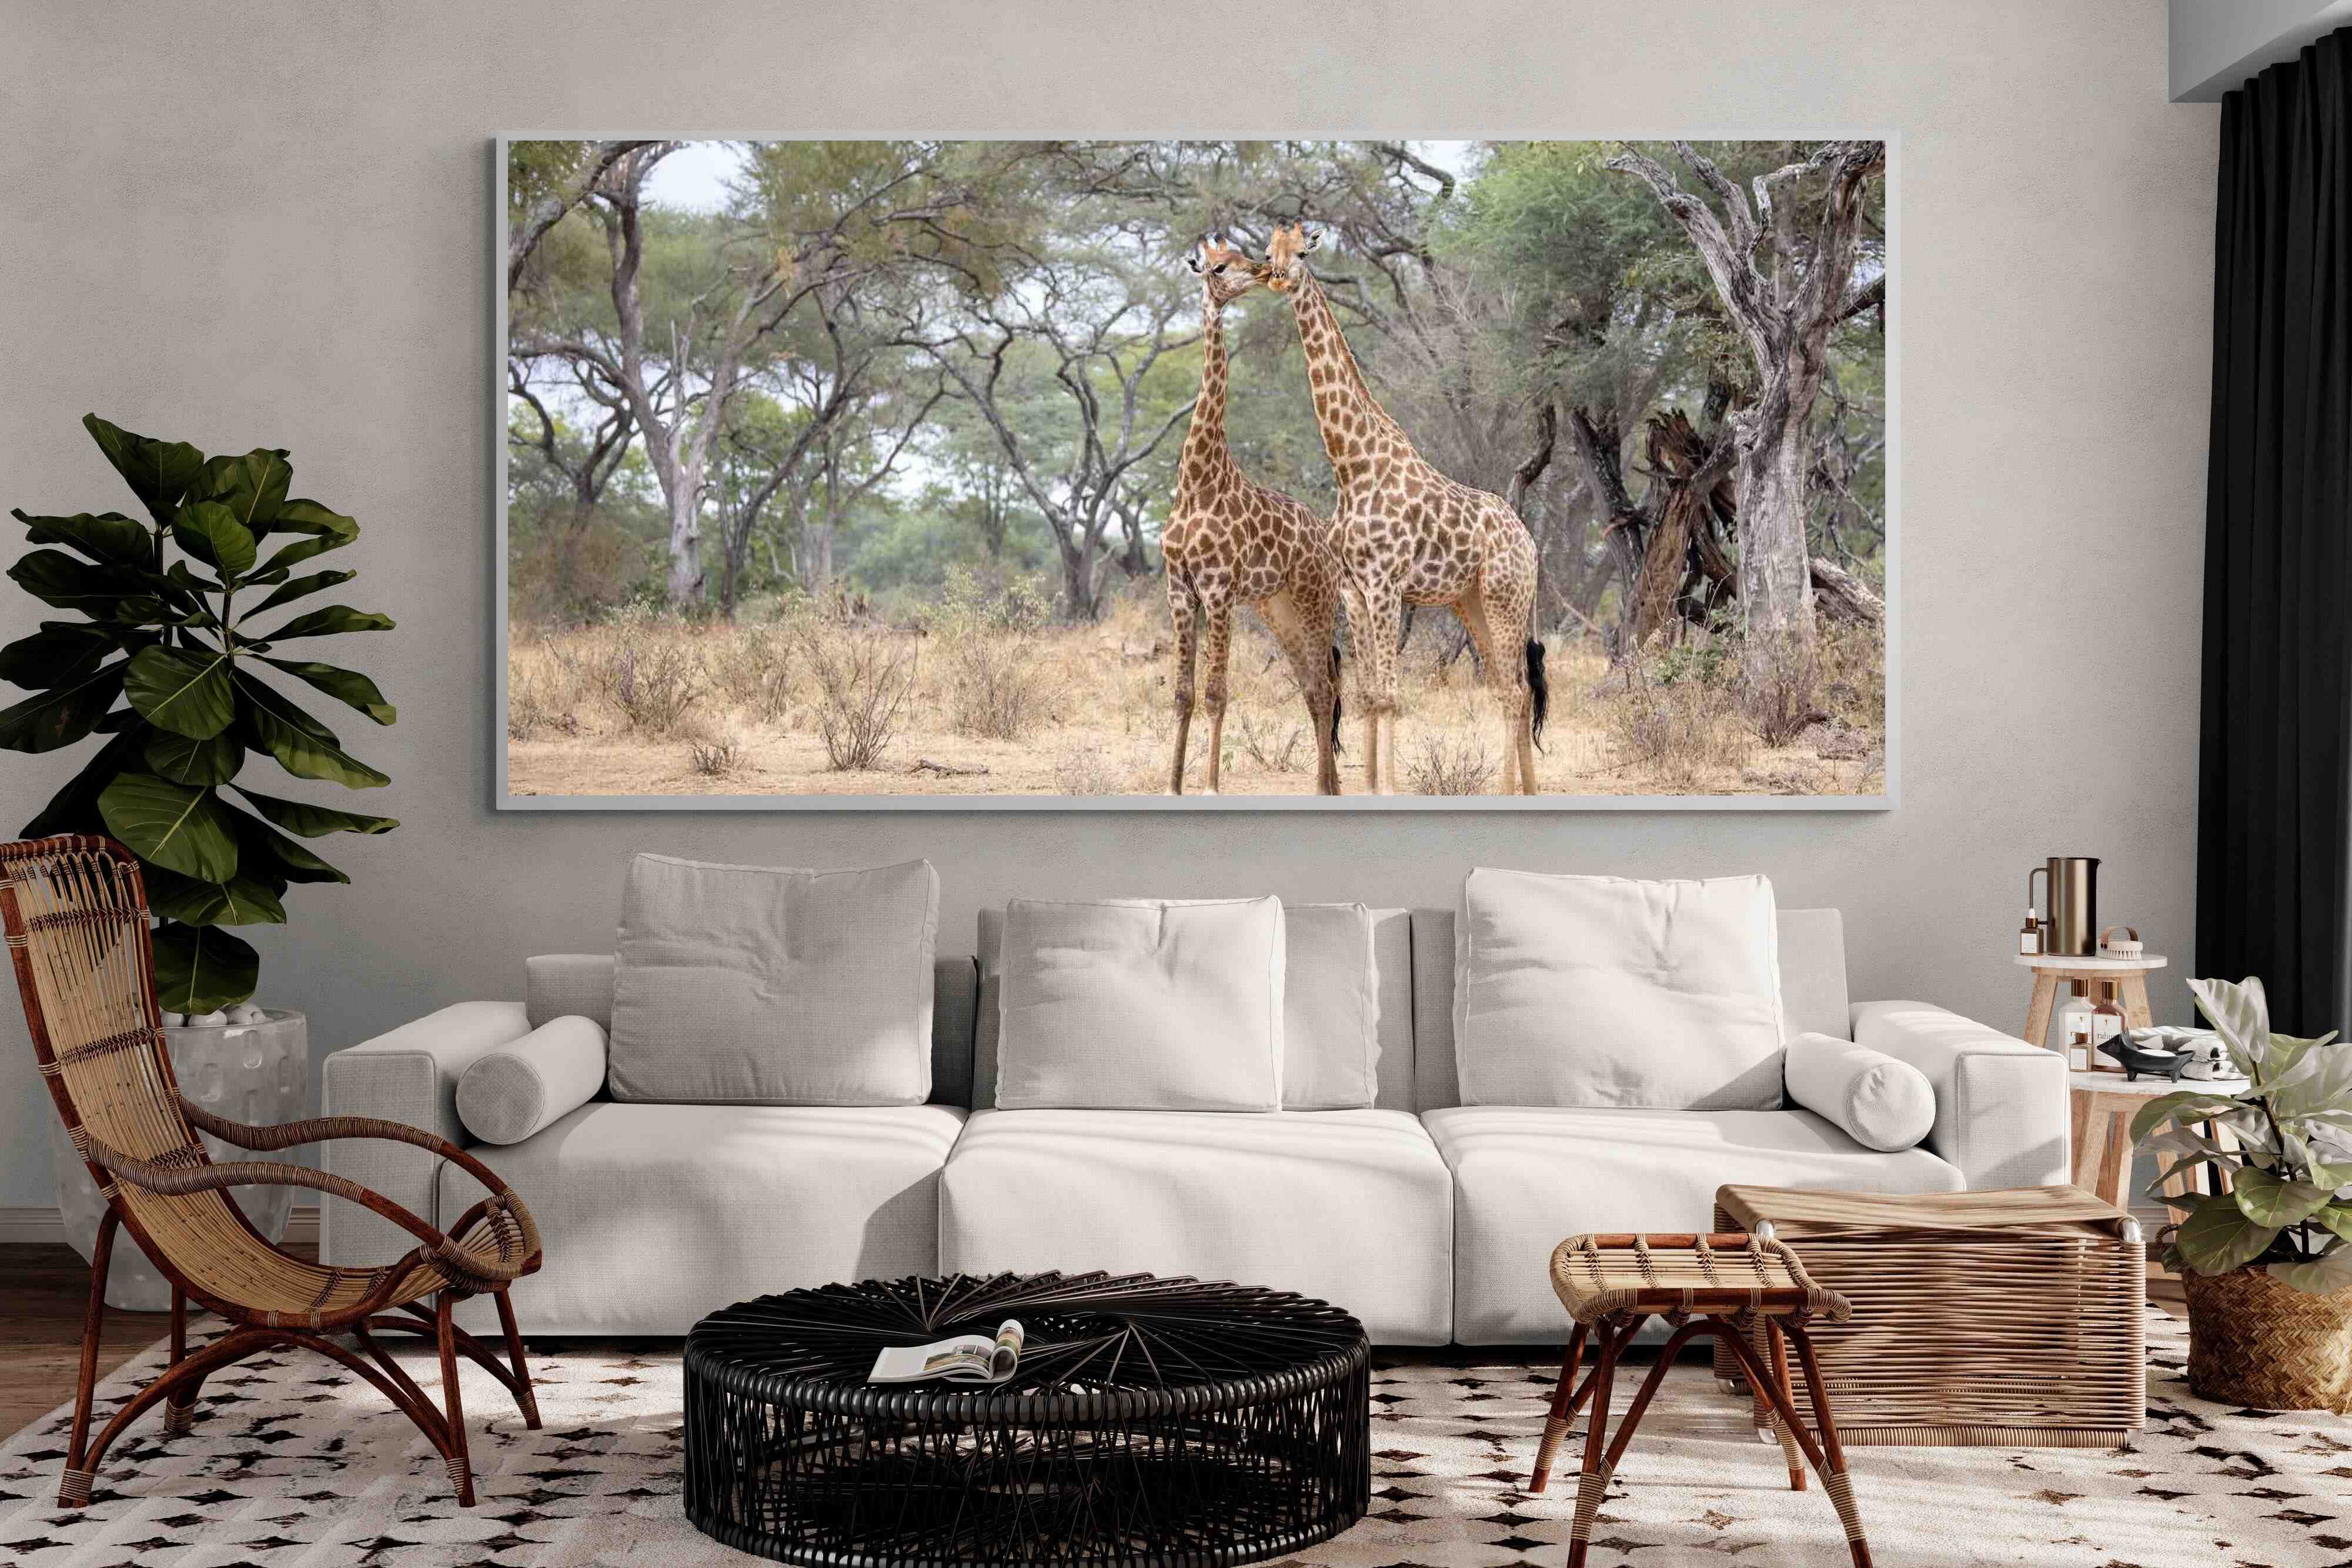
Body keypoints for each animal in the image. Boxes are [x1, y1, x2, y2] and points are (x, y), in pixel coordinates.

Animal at [1162, 235, 1344, 795]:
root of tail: (1325, 540)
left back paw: (1325, 788)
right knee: (1313, 687)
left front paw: (1210, 786)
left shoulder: (1219, 589)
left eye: (1245, 255)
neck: (1197, 482)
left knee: (1326, 687)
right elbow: (1184, 693)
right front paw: (1172, 785)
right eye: (1219, 266)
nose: (1264, 272)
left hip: (1315, 601)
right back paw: (1330, 787)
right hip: (1277, 608)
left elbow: (1217, 692)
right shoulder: (1180, 590)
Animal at [1256, 222, 1547, 795]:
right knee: (1512, 688)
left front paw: (1386, 789)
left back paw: (1509, 791)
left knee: (1516, 690)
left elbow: (1390, 695)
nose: (1278, 276)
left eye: (1302, 252)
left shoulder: (1386, 583)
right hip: (1470, 601)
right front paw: (1369, 785)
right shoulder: (1355, 589)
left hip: (1505, 597)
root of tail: (1528, 541)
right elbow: (1370, 694)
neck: (1351, 465)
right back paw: (1526, 790)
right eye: (1268, 251)